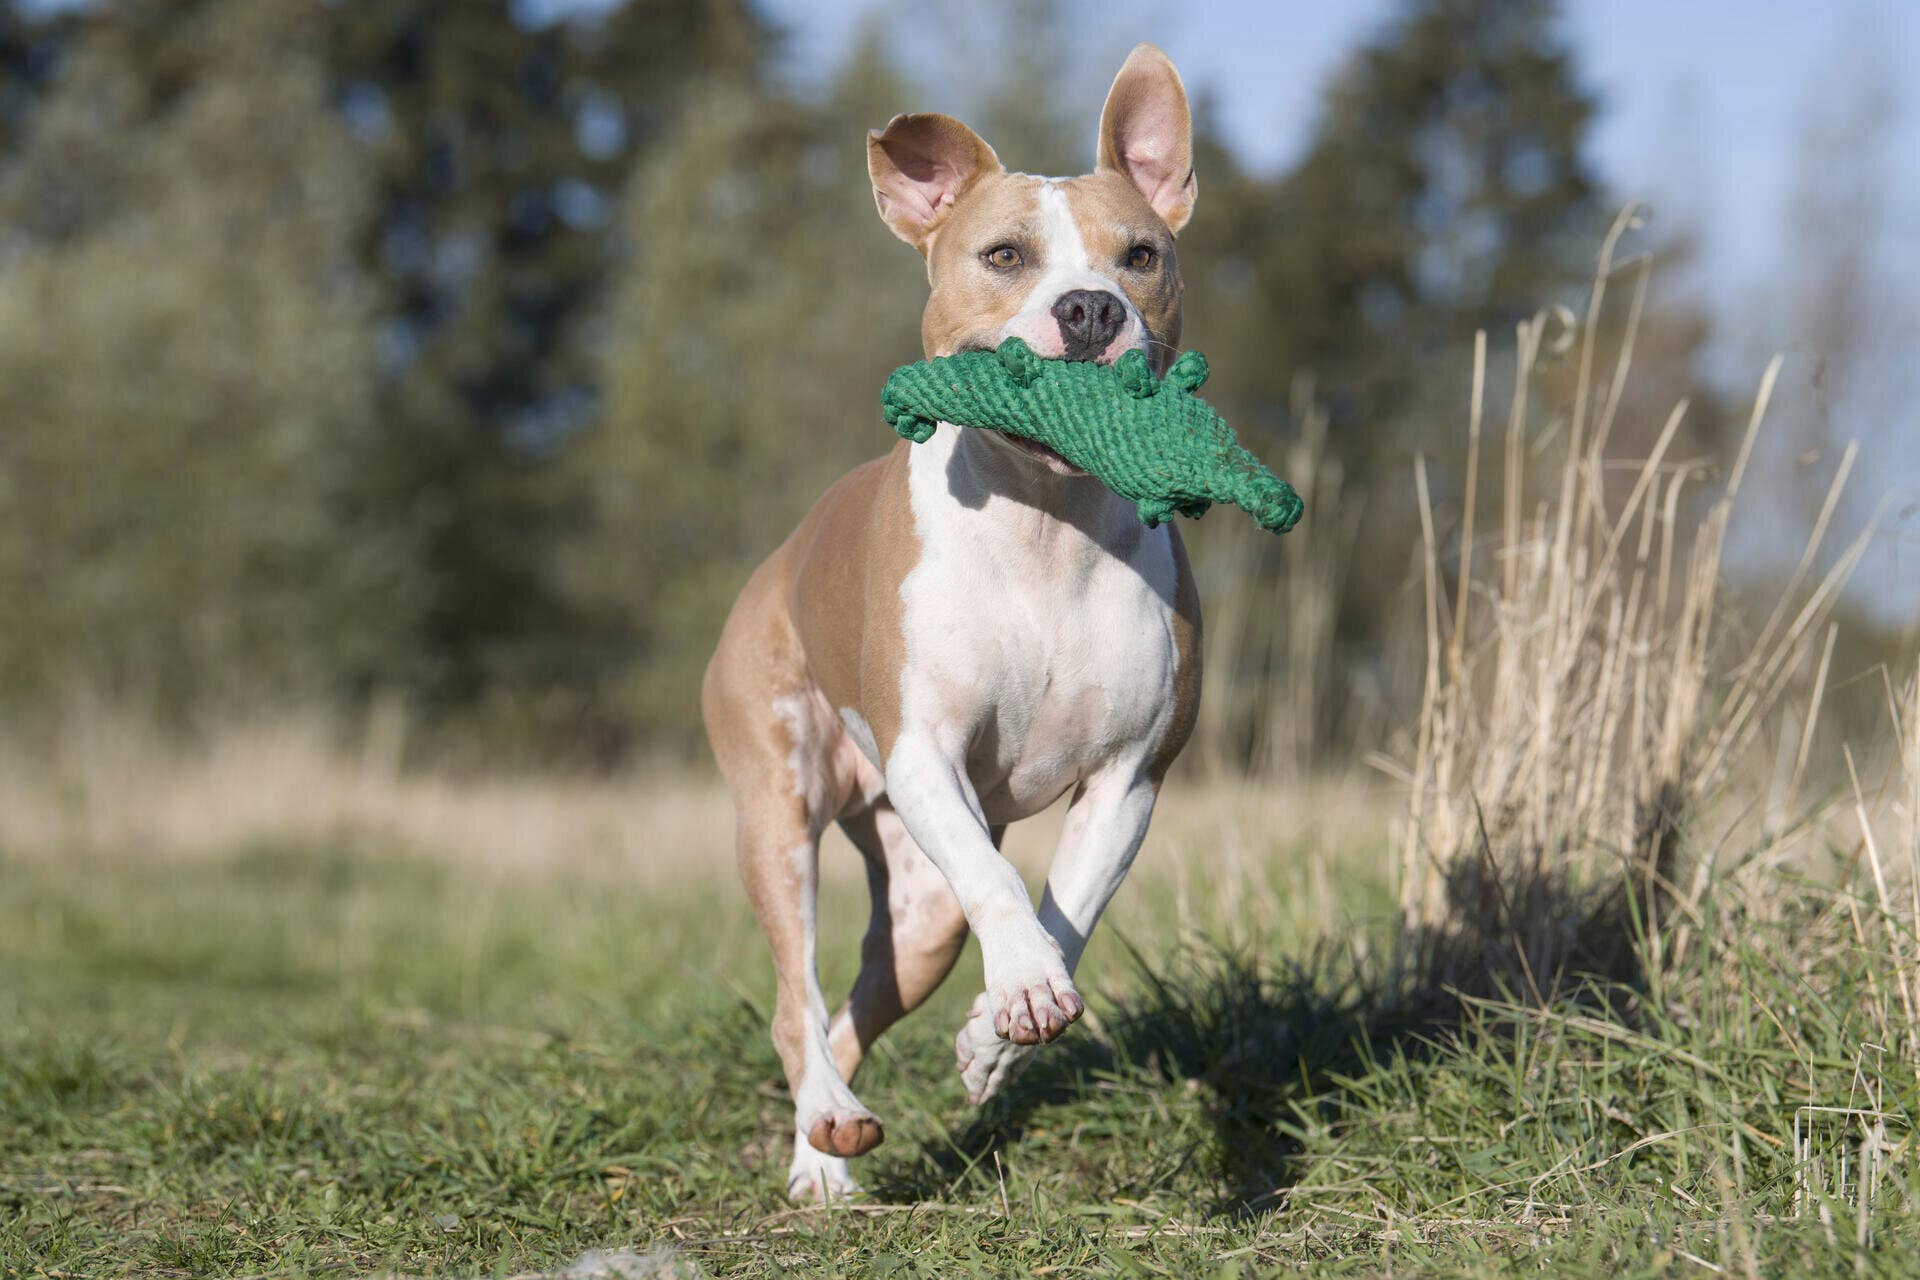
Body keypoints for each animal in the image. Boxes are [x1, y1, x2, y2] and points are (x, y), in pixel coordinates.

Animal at [698, 40, 1205, 1205]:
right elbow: (1001, 879)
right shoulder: (924, 751)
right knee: (795, 999)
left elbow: (1069, 901)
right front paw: (1020, 981)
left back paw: (826, 1153)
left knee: (854, 1007)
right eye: (1005, 253)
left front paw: (998, 1028)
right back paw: (829, 1120)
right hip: (778, 810)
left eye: (1142, 255)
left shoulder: (1131, 776)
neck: (1047, 527)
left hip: (916, 910)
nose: (1090, 309)